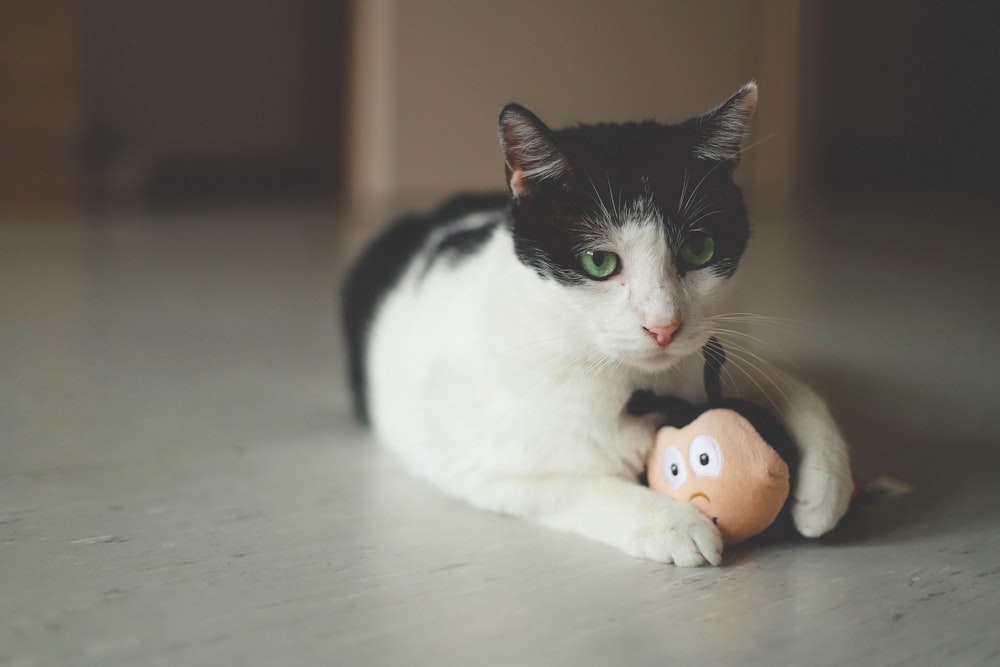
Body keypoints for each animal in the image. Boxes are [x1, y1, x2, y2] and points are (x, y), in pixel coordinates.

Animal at [344, 81, 852, 568]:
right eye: (599, 261)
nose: (663, 326)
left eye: (699, 249)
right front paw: (672, 523)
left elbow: (795, 390)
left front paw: (826, 483)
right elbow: (577, 486)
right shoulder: (486, 470)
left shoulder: (721, 351)